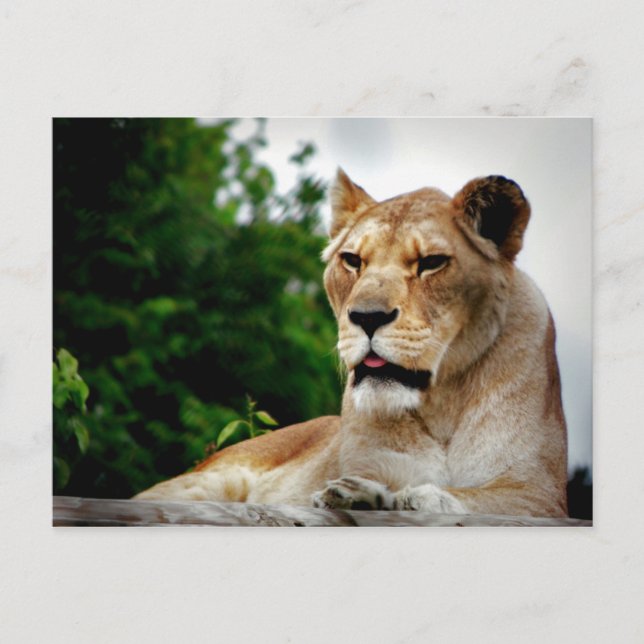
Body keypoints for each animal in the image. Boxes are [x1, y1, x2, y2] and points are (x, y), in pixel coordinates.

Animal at [135, 169, 568, 518]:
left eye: (431, 263)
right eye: (353, 260)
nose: (367, 318)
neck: (441, 402)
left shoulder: (540, 492)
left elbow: (473, 497)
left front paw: (406, 497)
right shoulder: (370, 461)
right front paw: (358, 494)